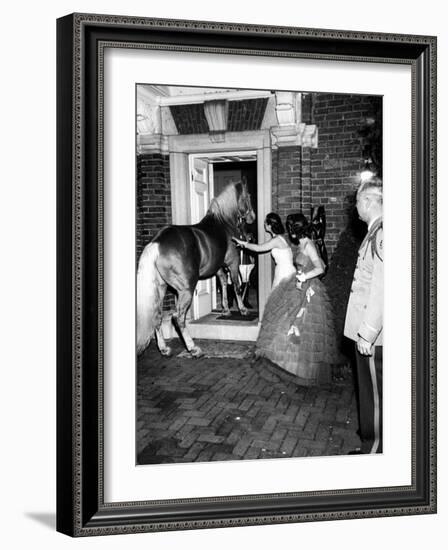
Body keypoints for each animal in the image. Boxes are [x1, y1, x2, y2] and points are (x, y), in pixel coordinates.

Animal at [136, 182, 256, 358]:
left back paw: (164, 348)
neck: (222, 223)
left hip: (161, 288)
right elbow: (236, 286)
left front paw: (226, 310)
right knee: (178, 317)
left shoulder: (218, 268)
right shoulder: (233, 263)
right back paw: (193, 348)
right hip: (186, 289)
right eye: (248, 196)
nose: (252, 217)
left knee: (157, 316)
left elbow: (224, 285)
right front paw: (243, 309)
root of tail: (156, 243)